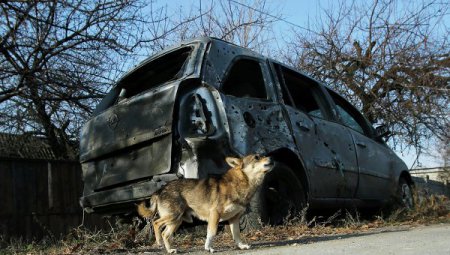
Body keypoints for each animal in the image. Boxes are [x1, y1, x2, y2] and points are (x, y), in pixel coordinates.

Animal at [136, 154, 270, 252]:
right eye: (256, 157)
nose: (272, 158)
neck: (240, 183)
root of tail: (159, 190)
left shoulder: (234, 219)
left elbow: (236, 234)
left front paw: (241, 246)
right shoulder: (215, 214)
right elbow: (211, 233)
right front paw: (208, 247)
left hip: (176, 221)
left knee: (165, 234)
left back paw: (170, 250)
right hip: (173, 216)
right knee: (156, 223)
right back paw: (158, 242)